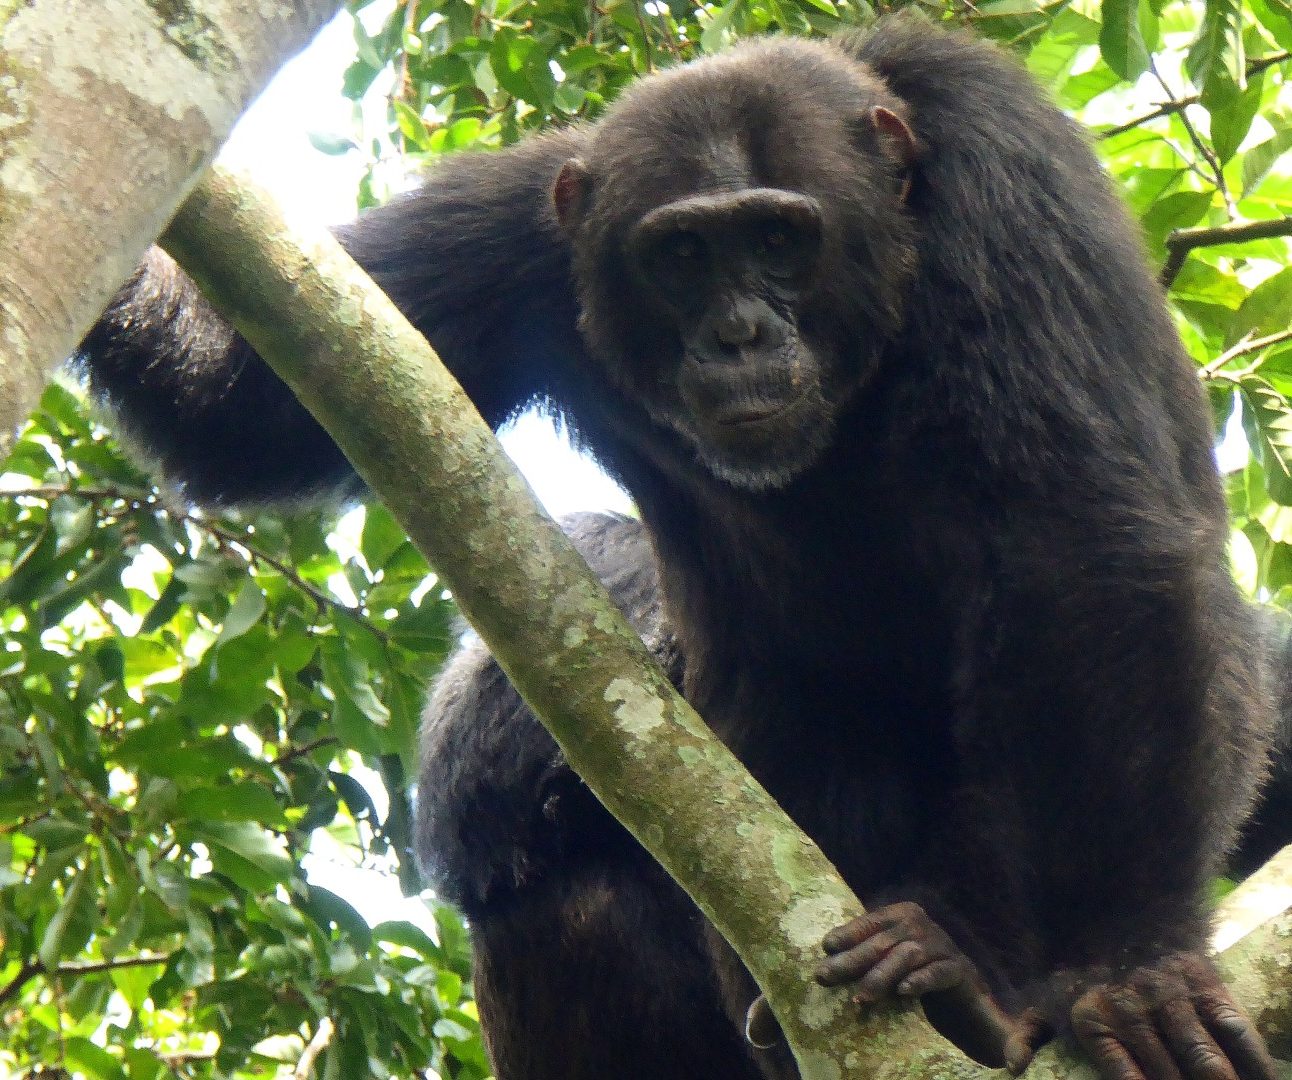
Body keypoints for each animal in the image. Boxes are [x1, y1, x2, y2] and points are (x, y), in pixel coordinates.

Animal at [75, 14, 1276, 1080]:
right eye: (685, 254)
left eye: (779, 239)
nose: (740, 331)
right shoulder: (522, 225)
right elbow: (250, 396)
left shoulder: (1006, 171)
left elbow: (1079, 543)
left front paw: (1123, 972)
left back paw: (964, 975)